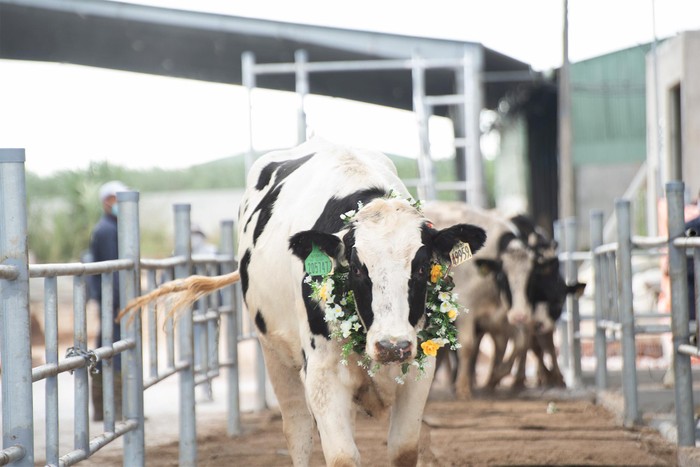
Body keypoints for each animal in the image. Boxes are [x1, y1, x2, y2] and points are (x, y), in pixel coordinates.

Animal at [238, 140, 484, 467]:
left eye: (421, 267)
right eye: (356, 269)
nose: (392, 346)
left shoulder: (420, 373)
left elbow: (403, 449)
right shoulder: (322, 374)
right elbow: (342, 456)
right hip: (274, 353)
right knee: (297, 430)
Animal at [422, 201, 536, 398]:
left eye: (531, 279)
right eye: (502, 277)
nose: (520, 315)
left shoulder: (500, 317)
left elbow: (519, 343)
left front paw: (496, 376)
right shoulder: (467, 312)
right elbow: (468, 347)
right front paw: (463, 387)